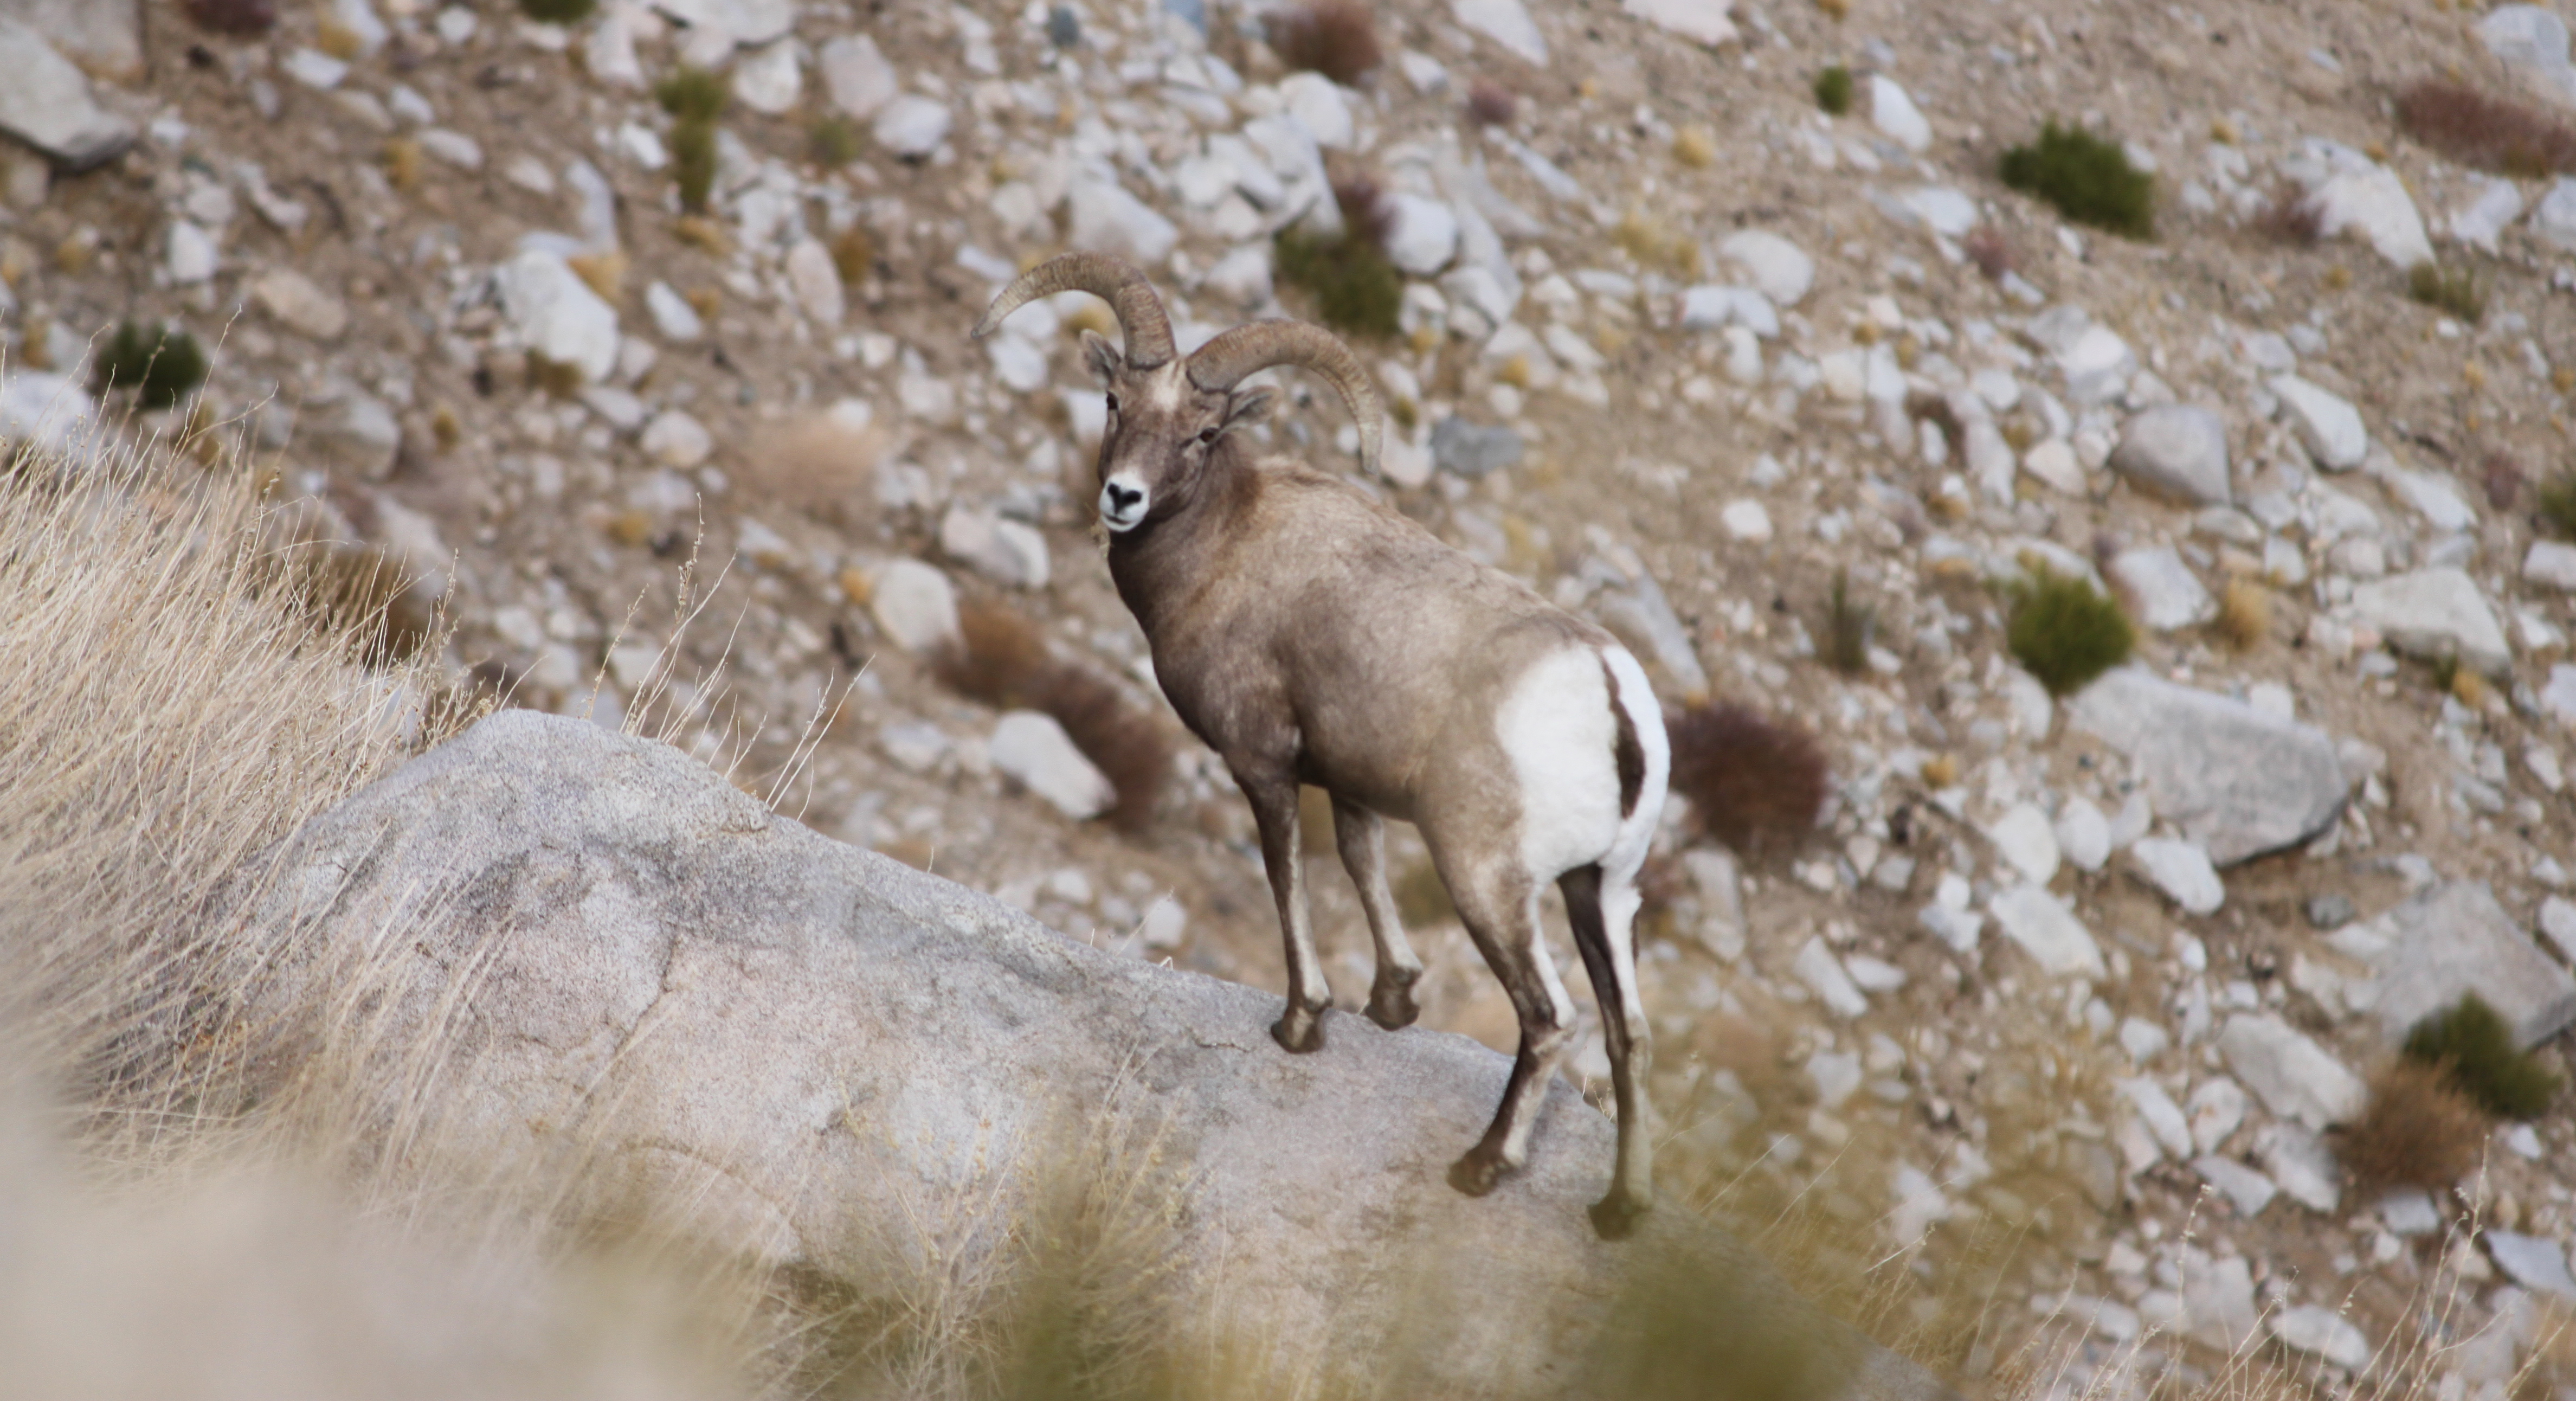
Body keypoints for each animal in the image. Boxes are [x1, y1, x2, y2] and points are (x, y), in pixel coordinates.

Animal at [974, 253, 1670, 1239]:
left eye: (1204, 431)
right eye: (1114, 402)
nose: (1123, 498)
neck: (1226, 550)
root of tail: (1609, 695)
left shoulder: (1263, 767)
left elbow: (1288, 876)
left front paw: (1302, 1023)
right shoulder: (1351, 784)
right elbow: (1358, 862)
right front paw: (1393, 1001)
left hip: (1490, 885)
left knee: (1550, 1018)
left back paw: (1482, 1166)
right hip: (1601, 891)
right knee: (1629, 1034)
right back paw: (1619, 1207)